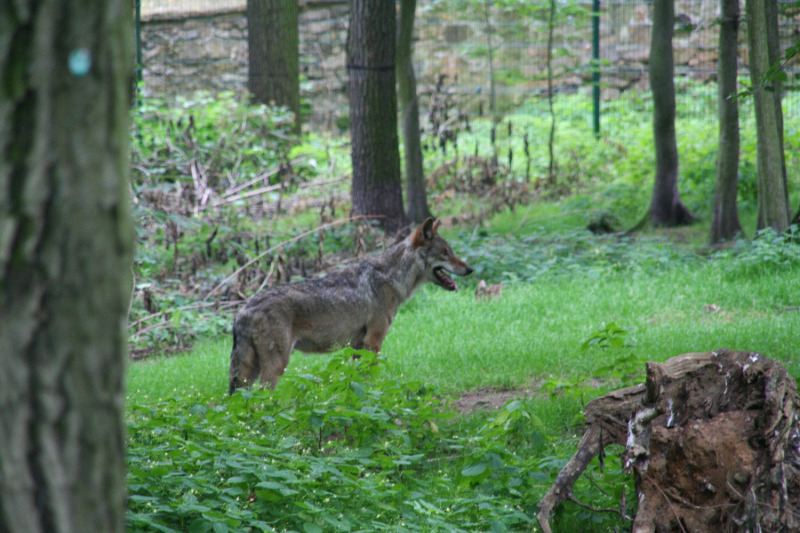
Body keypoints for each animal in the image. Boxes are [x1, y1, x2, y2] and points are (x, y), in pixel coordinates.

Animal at [228, 217, 472, 394]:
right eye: (445, 253)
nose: (470, 269)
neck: (393, 277)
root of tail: (243, 311)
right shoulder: (373, 341)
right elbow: (372, 377)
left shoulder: (357, 346)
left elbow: (357, 379)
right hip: (276, 366)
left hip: (249, 372)